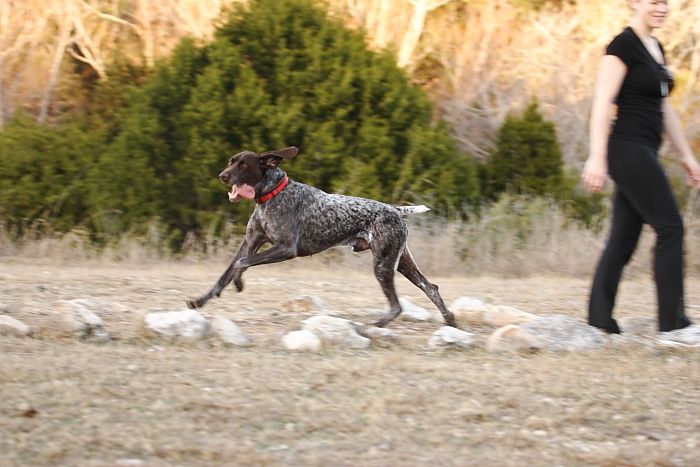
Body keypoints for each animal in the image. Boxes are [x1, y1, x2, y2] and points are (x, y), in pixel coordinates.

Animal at [186, 147, 456, 330]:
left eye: (243, 165)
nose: (222, 175)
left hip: (383, 265)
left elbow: (241, 266)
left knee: (397, 304)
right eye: (231, 162)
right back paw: (450, 321)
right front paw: (200, 300)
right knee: (430, 288)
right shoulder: (250, 244)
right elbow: (225, 274)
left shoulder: (286, 249)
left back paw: (378, 325)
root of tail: (395, 210)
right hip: (400, 262)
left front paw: (239, 282)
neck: (271, 195)